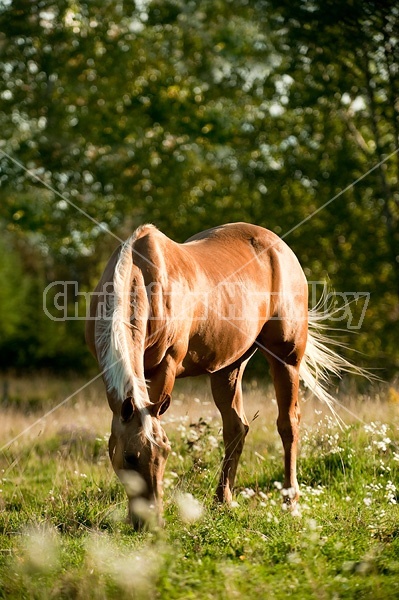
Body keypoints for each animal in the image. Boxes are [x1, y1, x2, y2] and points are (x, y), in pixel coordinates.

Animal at [86, 223, 352, 528]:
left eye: (164, 453)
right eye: (130, 458)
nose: (153, 522)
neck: (140, 275)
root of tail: (280, 247)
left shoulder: (166, 366)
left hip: (286, 359)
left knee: (288, 424)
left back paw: (289, 503)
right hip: (229, 367)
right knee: (236, 428)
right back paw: (223, 500)